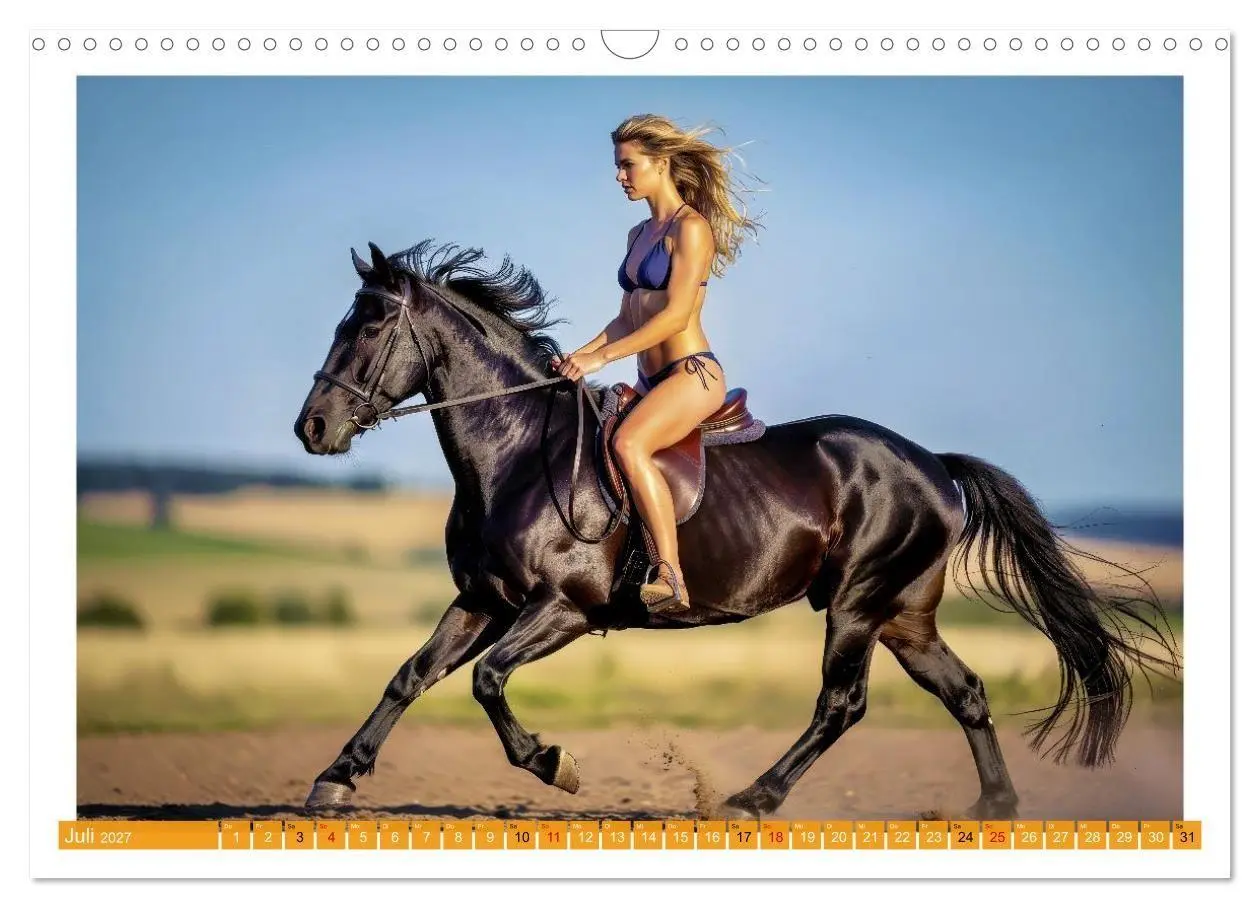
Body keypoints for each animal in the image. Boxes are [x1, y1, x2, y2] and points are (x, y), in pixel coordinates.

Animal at [293, 239, 1179, 819]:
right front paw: (336, 777)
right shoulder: (482, 600)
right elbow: (409, 676)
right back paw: (994, 806)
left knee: (841, 704)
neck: (515, 455)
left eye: (367, 326)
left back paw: (754, 797)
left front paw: (556, 764)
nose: (312, 427)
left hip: (858, 604)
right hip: (904, 614)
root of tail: (932, 462)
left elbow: (485, 681)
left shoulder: (564, 609)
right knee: (963, 691)